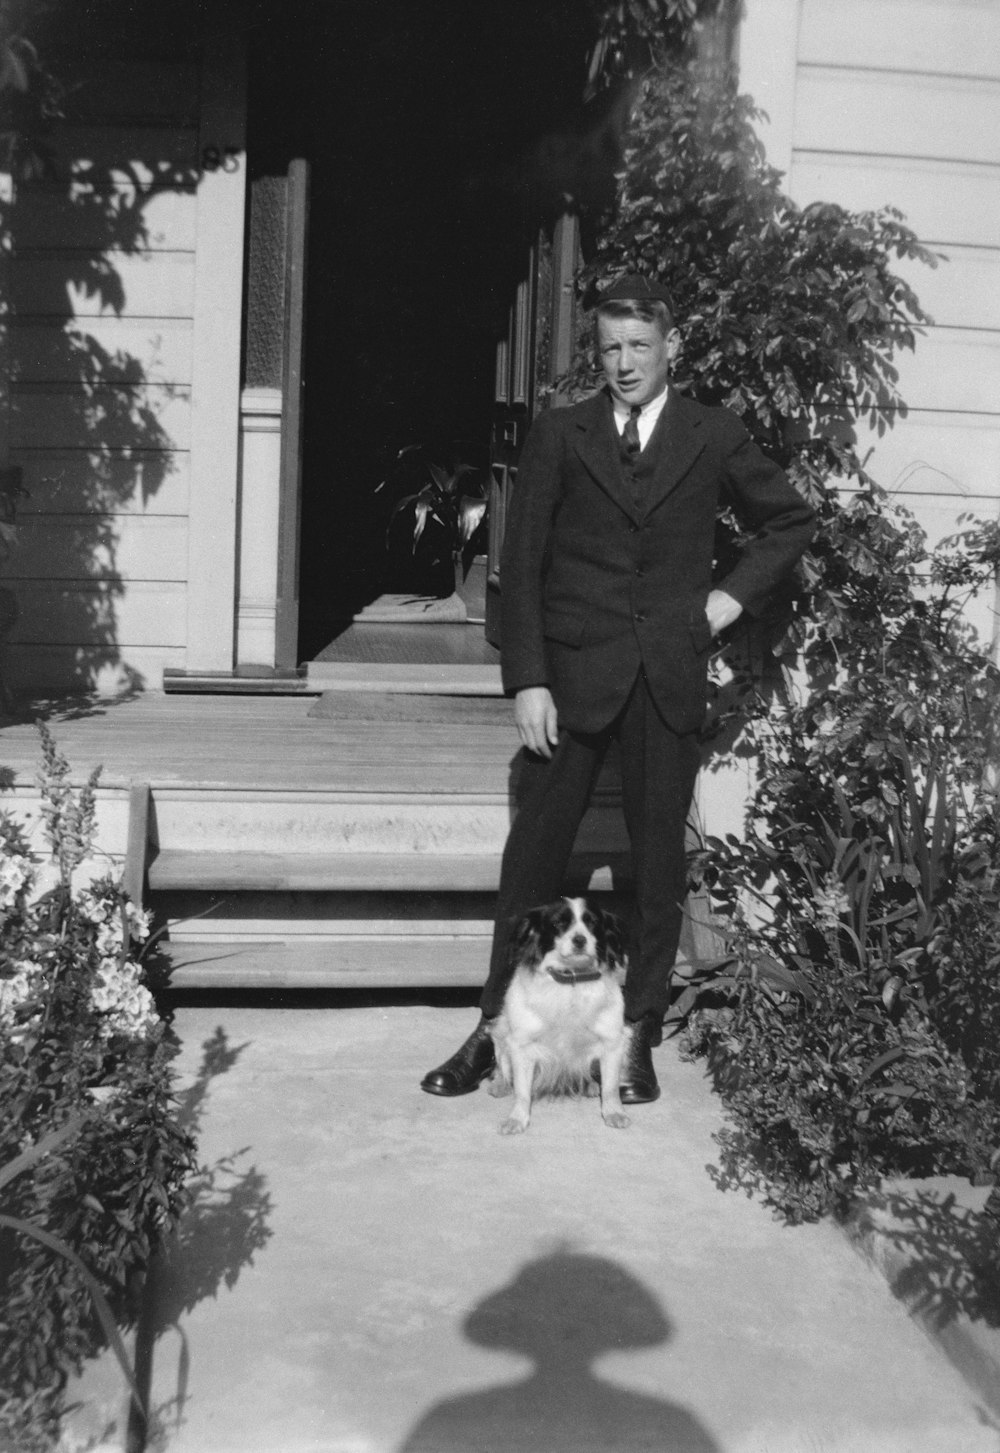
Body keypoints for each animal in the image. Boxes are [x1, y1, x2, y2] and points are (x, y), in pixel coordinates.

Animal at [488, 895, 627, 1133]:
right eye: (558, 923)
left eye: (592, 923)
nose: (580, 940)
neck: (571, 981)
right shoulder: (521, 1045)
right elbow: (522, 1092)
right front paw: (517, 1118)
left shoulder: (612, 1042)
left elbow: (611, 1087)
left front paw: (613, 1112)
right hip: (501, 1031)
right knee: (502, 1065)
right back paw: (499, 1084)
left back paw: (591, 1085)